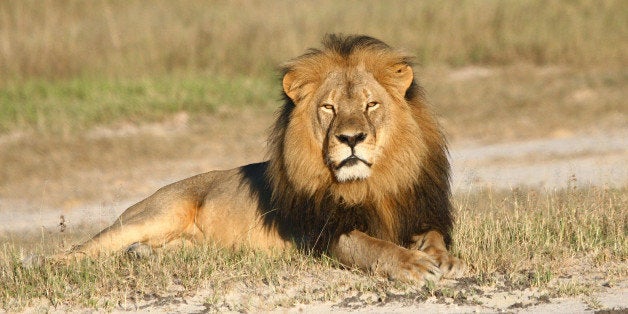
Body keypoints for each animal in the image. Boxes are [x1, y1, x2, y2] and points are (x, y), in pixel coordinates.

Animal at [56, 33, 464, 282]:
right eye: (329, 108)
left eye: (371, 104)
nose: (351, 138)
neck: (371, 184)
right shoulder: (325, 234)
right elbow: (372, 245)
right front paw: (413, 264)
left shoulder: (419, 211)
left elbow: (434, 235)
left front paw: (443, 258)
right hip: (155, 214)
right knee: (81, 249)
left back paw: (142, 256)